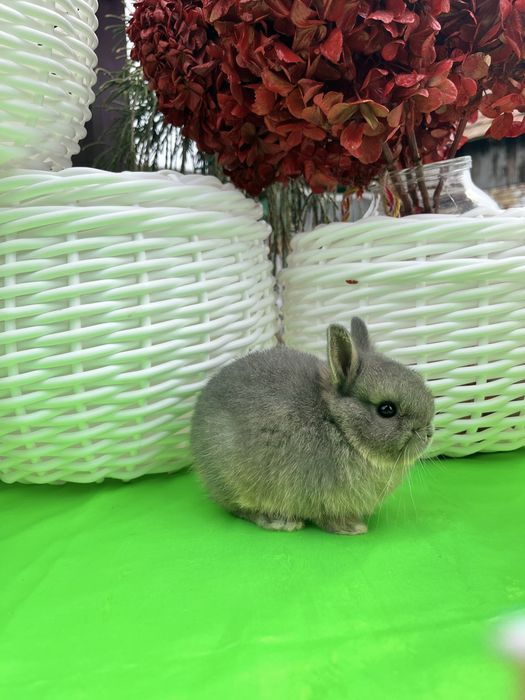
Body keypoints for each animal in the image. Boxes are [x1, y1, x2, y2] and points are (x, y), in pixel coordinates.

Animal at [190, 317, 435, 535]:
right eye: (387, 409)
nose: (428, 433)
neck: (339, 424)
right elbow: (326, 518)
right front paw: (353, 528)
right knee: (240, 509)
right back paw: (279, 522)